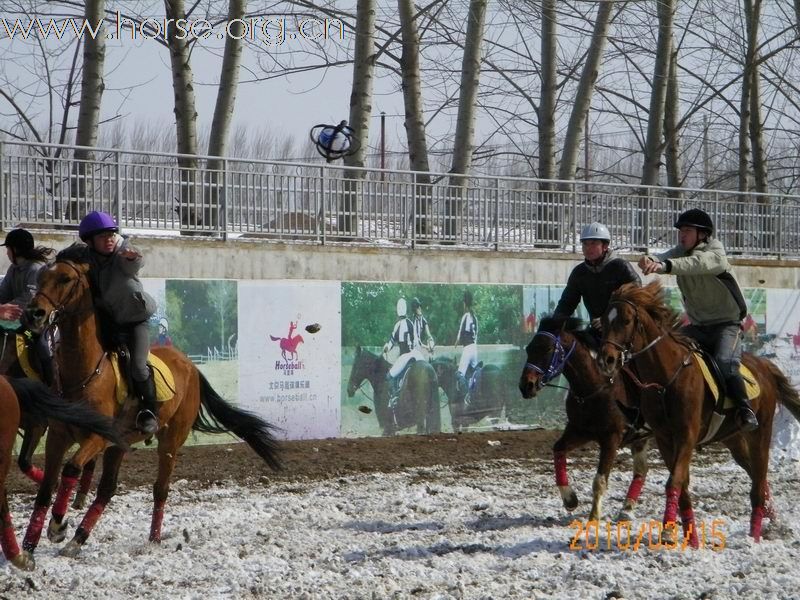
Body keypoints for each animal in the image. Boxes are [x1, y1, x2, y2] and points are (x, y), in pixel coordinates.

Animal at [17, 247, 282, 568]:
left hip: (169, 441)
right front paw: (28, 547)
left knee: (160, 488)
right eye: (42, 276)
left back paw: (152, 538)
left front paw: (57, 526)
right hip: (119, 445)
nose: (34, 314)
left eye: (65, 278)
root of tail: (190, 365)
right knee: (107, 489)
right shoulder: (59, 436)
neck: (85, 372)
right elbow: (46, 488)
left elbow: (71, 468)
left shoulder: (98, 437)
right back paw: (78, 540)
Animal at [520, 318, 648, 520]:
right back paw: (627, 508)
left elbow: (600, 481)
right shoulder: (579, 431)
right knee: (641, 471)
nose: (526, 385)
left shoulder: (611, 439)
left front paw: (594, 517)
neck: (595, 387)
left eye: (548, 349)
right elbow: (558, 449)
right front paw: (570, 499)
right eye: (529, 349)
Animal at [596, 282, 800, 544]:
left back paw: (754, 536)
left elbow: (674, 481)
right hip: (733, 439)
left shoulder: (686, 436)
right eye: (604, 320)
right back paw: (771, 518)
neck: (666, 378)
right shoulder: (664, 438)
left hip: (760, 433)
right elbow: (681, 485)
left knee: (758, 480)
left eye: (627, 320)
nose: (606, 359)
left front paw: (668, 531)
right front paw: (690, 537)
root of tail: (763, 366)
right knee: (758, 478)